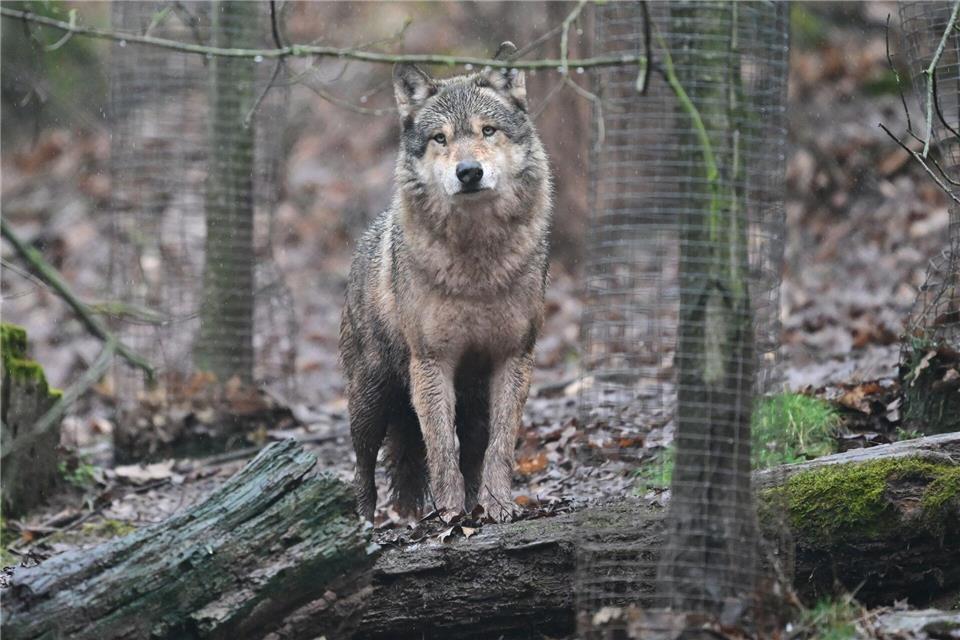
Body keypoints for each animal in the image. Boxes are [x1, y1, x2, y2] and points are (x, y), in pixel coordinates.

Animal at [339, 46, 553, 522]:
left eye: (487, 131)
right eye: (440, 138)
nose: (468, 171)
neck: (477, 267)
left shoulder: (514, 358)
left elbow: (499, 448)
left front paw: (497, 506)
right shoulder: (431, 362)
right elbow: (439, 449)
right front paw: (451, 515)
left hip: (471, 401)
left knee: (469, 449)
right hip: (371, 397)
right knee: (363, 464)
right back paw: (364, 522)